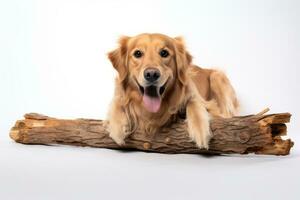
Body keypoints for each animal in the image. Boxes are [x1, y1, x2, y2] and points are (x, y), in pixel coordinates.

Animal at [106, 33, 238, 148]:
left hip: (217, 76)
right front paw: (117, 127)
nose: (151, 74)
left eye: (164, 53)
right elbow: (117, 101)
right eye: (138, 53)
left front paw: (200, 130)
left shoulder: (207, 103)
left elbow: (193, 102)